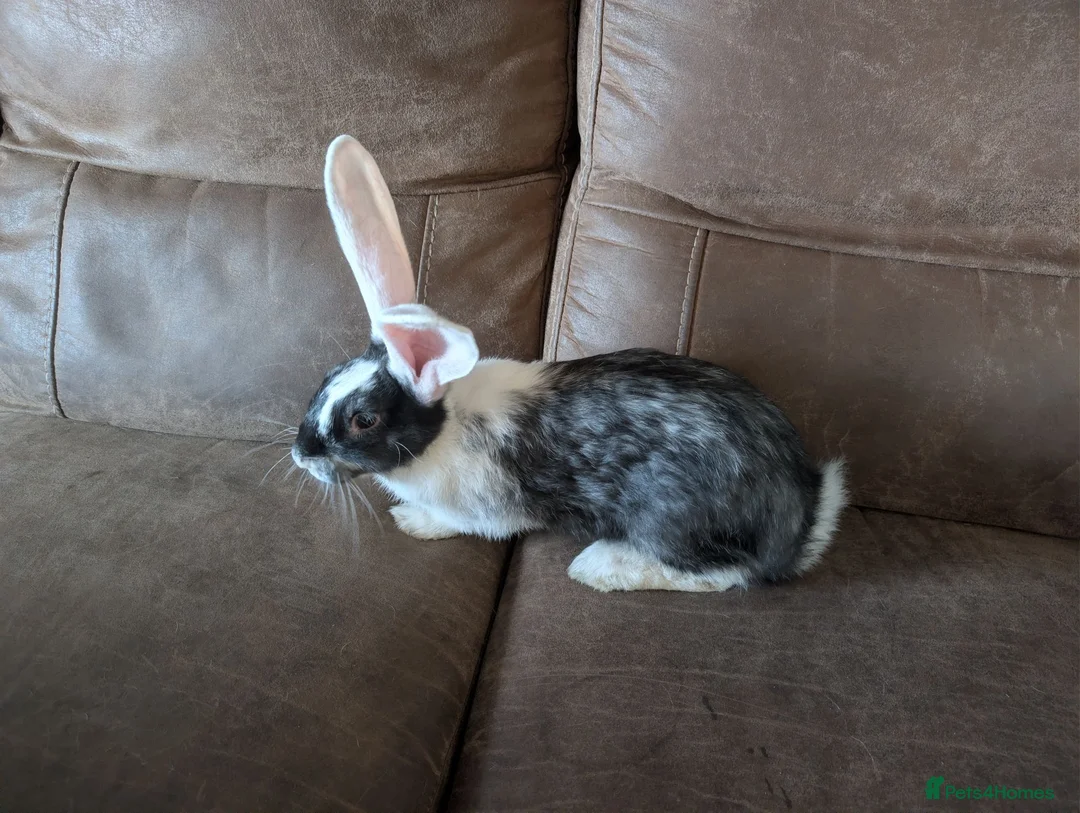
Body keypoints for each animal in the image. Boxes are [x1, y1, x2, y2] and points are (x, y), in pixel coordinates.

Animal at [291, 134, 848, 593]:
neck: (443, 429)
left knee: (724, 572)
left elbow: (460, 524)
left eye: (364, 419)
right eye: (326, 379)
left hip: (669, 516)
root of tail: (800, 521)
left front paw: (412, 521)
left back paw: (599, 567)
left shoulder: (485, 510)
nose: (300, 454)